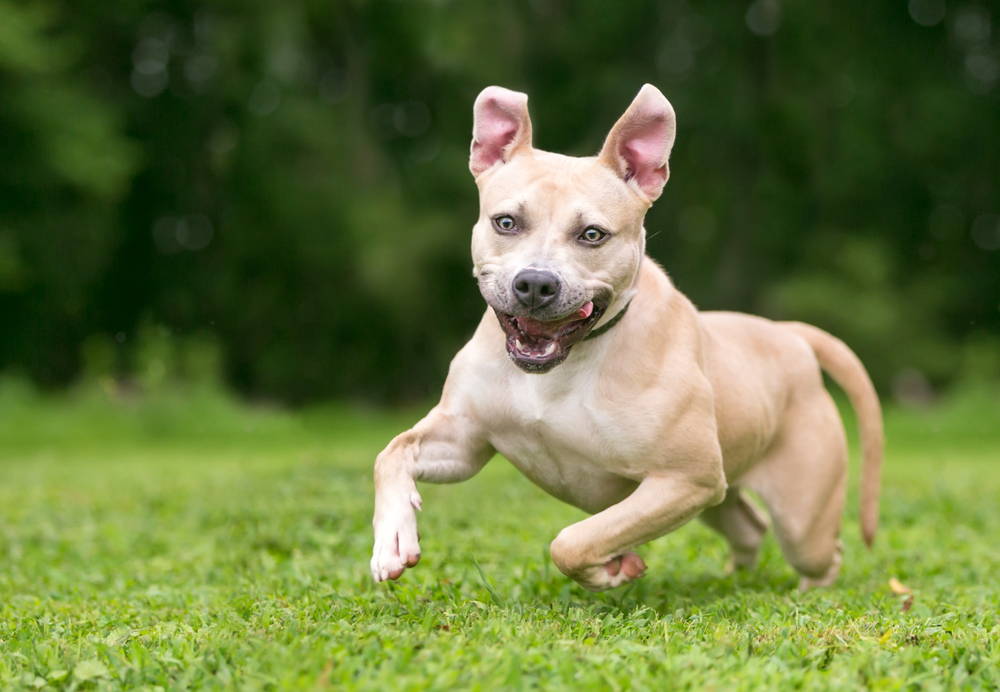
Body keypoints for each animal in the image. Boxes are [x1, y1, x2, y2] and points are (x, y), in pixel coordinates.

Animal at [370, 84, 884, 592]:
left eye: (592, 234)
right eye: (506, 222)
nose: (535, 284)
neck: (567, 363)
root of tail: (787, 334)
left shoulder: (685, 480)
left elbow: (573, 542)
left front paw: (613, 567)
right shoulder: (465, 440)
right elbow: (391, 452)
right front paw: (393, 538)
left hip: (798, 519)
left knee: (821, 554)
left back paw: (806, 593)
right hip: (723, 497)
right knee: (749, 527)